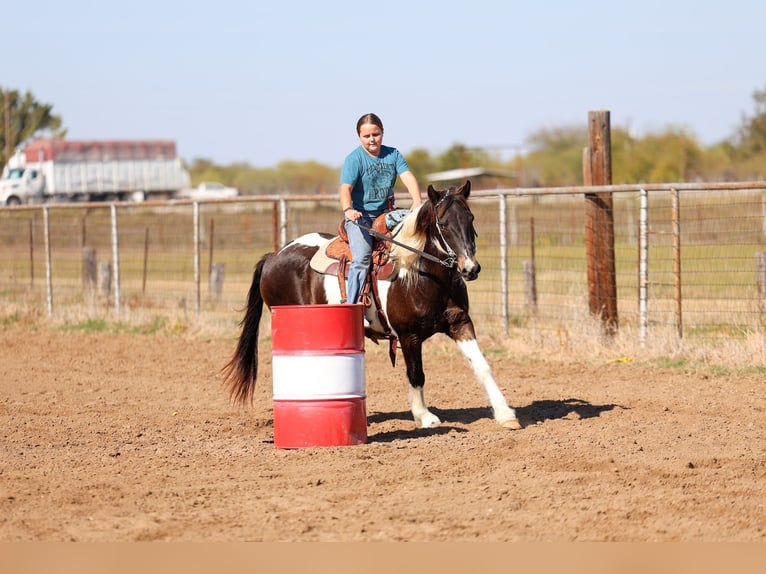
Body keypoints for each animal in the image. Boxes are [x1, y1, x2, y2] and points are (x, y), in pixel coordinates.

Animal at [222, 180, 521, 430]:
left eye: (470, 218)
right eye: (444, 224)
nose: (470, 268)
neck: (421, 273)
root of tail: (274, 255)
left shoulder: (459, 323)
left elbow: (482, 366)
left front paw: (505, 414)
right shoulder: (409, 336)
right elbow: (416, 374)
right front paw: (424, 417)